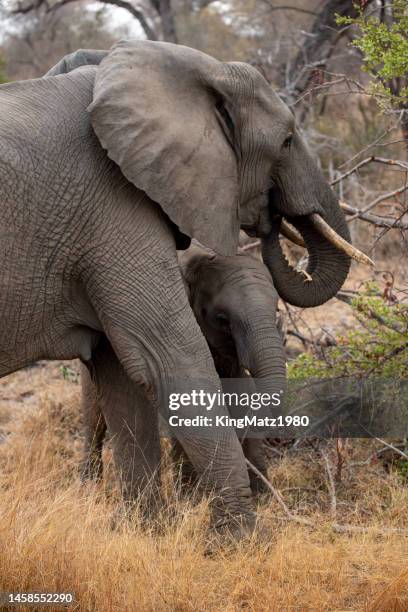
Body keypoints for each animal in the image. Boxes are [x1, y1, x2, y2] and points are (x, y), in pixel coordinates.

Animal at [79, 246, 284, 504]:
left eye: (276, 310)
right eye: (222, 319)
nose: (278, 440)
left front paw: (262, 496)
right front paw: (191, 498)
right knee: (94, 418)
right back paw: (89, 488)